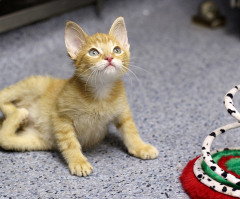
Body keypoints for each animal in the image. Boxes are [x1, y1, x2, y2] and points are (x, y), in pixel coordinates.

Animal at [0, 16, 158, 176]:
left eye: (117, 50)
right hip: (34, 84)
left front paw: (140, 147)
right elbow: (70, 143)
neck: (100, 92)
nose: (109, 58)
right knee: (3, 93)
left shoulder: (122, 110)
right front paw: (78, 161)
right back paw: (17, 112)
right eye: (93, 52)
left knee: (5, 139)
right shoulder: (61, 116)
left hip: (31, 141)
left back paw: (19, 116)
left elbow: (130, 130)